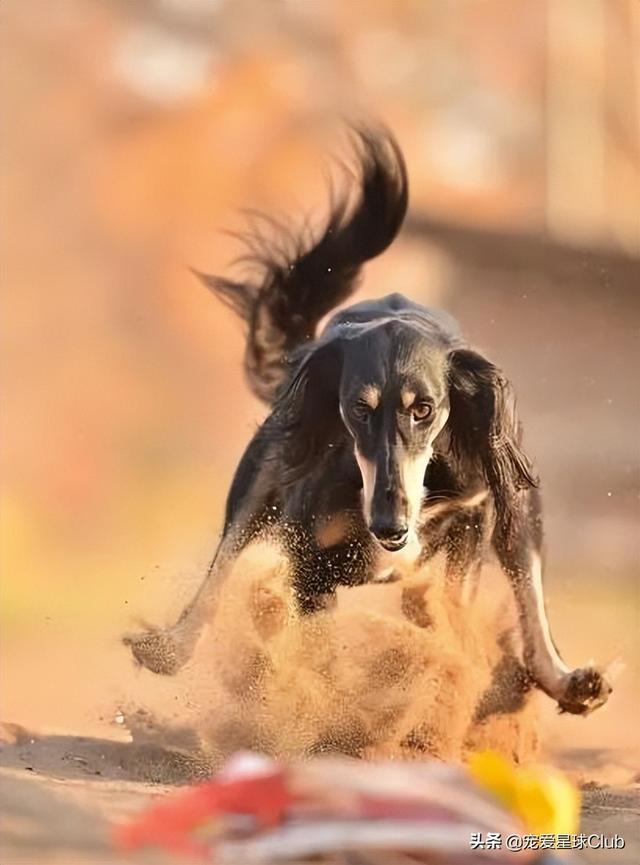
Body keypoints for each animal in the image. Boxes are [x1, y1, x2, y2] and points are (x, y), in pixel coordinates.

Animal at [125, 123, 608, 716]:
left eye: (424, 409)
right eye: (358, 408)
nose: (389, 524)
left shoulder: (473, 516)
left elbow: (450, 606)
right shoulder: (308, 557)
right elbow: (315, 636)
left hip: (515, 499)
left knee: (525, 591)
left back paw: (565, 680)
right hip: (265, 472)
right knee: (223, 565)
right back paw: (173, 645)